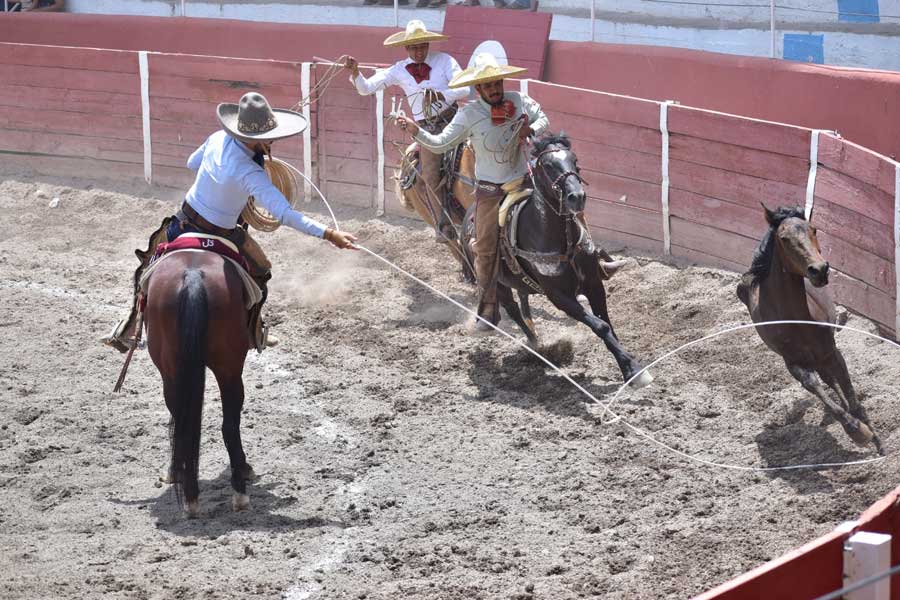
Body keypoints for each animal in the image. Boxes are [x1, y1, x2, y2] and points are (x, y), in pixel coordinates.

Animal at [144, 248, 255, 516]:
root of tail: (193, 275)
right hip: (229, 369)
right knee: (229, 425)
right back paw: (238, 491)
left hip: (173, 370)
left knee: (184, 423)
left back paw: (191, 495)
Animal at [740, 206, 884, 454]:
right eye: (783, 238)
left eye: (814, 229)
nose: (819, 270)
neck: (797, 320)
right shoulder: (793, 363)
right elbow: (815, 386)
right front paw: (858, 431)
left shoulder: (831, 353)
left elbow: (853, 399)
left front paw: (879, 445)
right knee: (826, 381)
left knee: (832, 381)